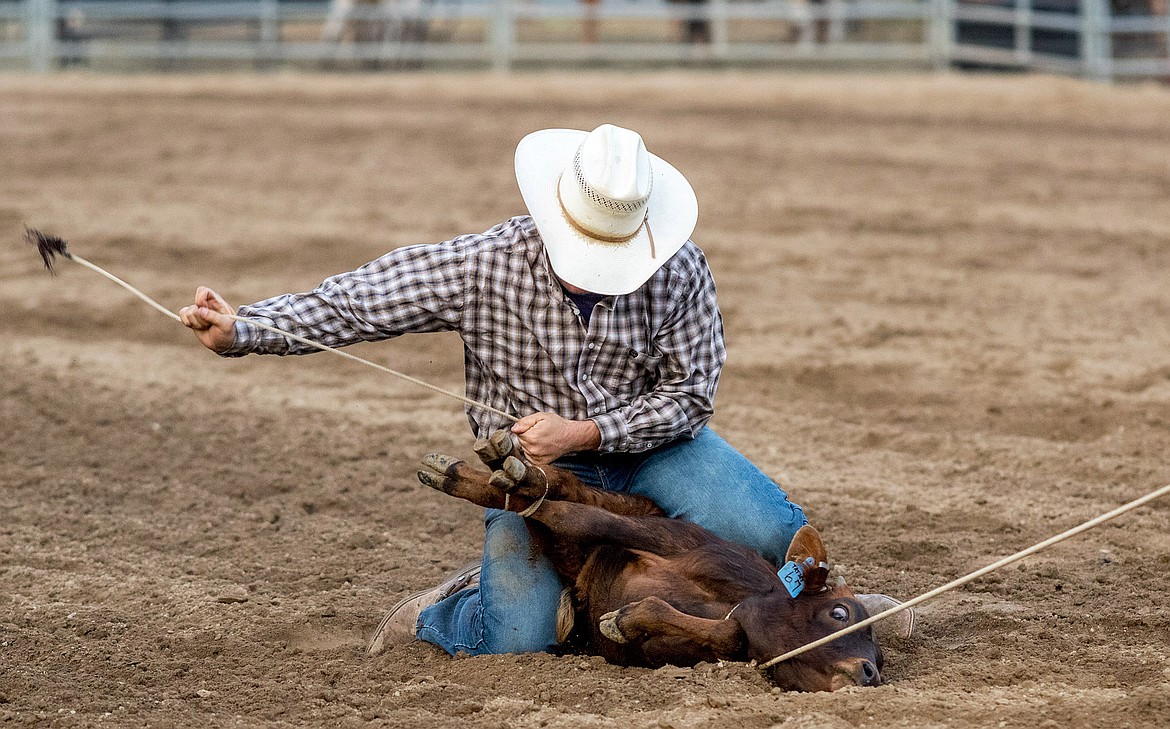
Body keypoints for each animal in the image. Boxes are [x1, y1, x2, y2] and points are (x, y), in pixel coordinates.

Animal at [421, 430, 893, 692]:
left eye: (882, 659)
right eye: (839, 612)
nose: (869, 673)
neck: (733, 597)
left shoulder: (673, 650)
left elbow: (729, 636)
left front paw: (625, 619)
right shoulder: (667, 538)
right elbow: (579, 517)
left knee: (545, 495)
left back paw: (499, 472)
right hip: (627, 511)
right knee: (559, 491)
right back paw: (479, 469)